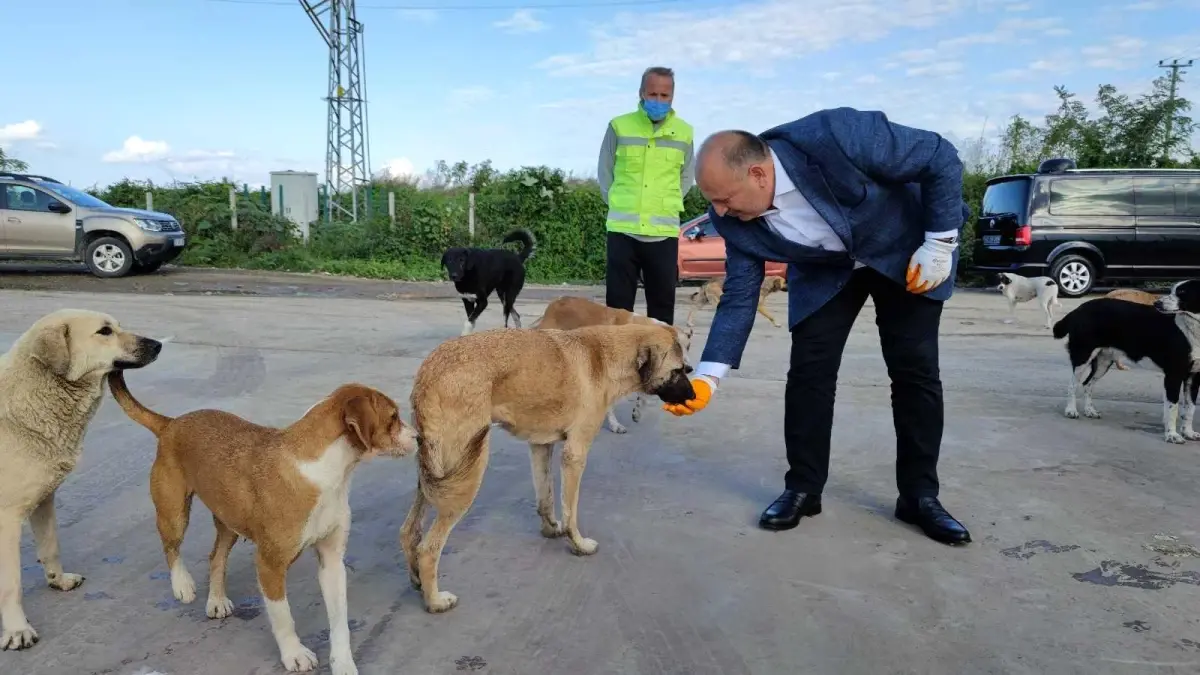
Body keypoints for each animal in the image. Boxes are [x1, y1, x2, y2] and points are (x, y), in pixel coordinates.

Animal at [0, 309, 162, 648]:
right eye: (104, 332)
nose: (157, 345)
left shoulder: (44, 500)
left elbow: (51, 545)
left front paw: (58, 580)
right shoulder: (7, 517)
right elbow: (11, 582)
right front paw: (17, 628)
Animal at [104, 372, 422, 672]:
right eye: (393, 418)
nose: (419, 437)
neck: (323, 472)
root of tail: (172, 424)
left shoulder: (332, 561)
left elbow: (339, 623)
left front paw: (343, 664)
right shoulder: (270, 565)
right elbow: (284, 617)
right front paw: (294, 654)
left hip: (229, 522)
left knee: (216, 557)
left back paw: (216, 600)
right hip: (174, 514)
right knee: (171, 547)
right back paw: (182, 584)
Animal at [400, 324, 696, 612]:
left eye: (686, 369)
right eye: (679, 370)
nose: (693, 395)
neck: (604, 357)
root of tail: (429, 373)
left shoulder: (540, 446)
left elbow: (546, 497)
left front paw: (551, 529)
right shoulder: (575, 454)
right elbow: (570, 511)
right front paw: (578, 544)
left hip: (436, 474)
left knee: (409, 531)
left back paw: (417, 581)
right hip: (467, 474)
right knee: (429, 549)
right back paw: (435, 601)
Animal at [532, 296, 696, 432]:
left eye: (688, 347)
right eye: (676, 349)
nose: (689, 369)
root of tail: (554, 304)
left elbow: (643, 395)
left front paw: (637, 411)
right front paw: (614, 425)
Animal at [1051, 277, 1200, 441]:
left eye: (1182, 292)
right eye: (1173, 291)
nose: (1157, 303)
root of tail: (1079, 308)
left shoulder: (1194, 377)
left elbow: (1190, 408)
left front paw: (1188, 432)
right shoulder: (1174, 375)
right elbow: (1173, 407)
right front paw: (1172, 435)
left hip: (1103, 361)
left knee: (1087, 384)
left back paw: (1090, 410)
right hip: (1082, 356)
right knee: (1073, 384)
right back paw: (1071, 410)